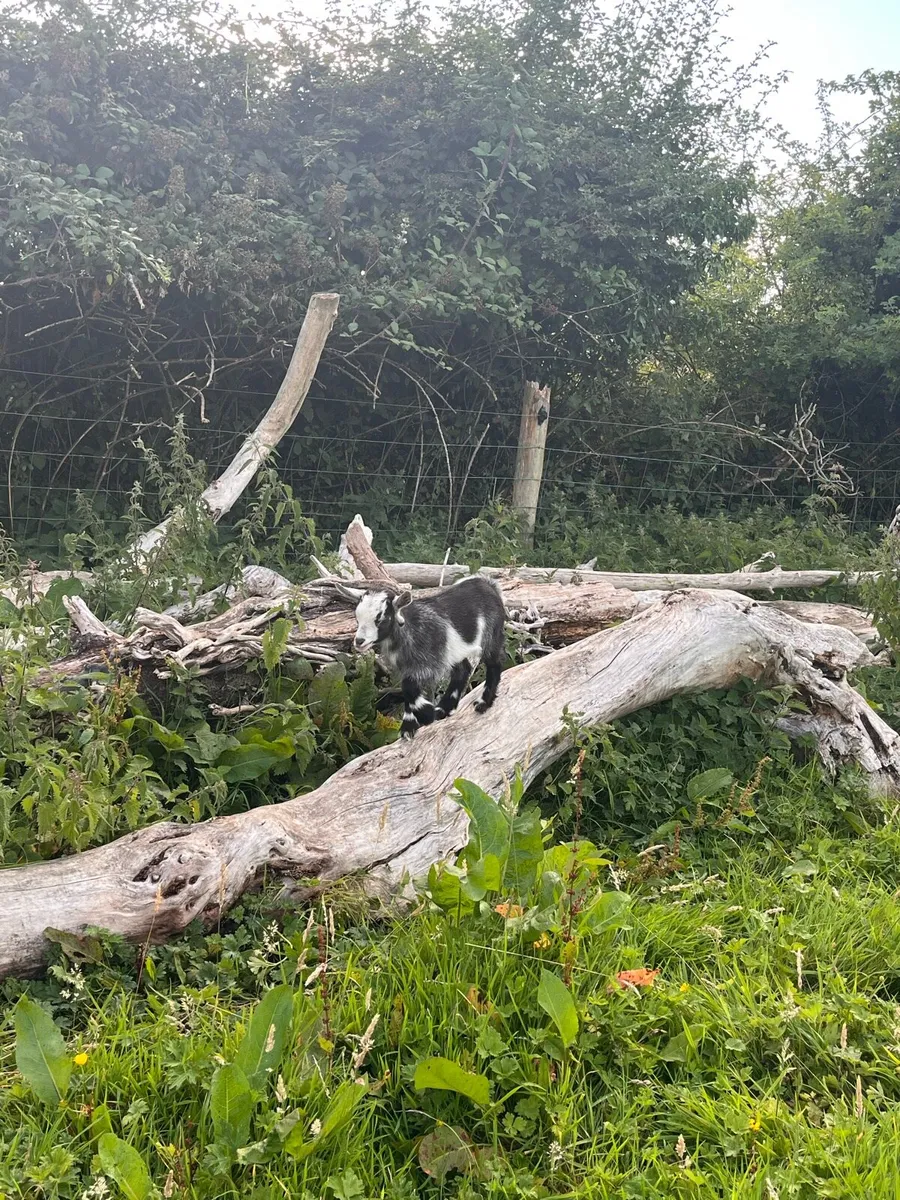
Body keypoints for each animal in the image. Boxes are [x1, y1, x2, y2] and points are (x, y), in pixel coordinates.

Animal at [338, 576, 506, 738]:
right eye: (357, 618)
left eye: (381, 619)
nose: (359, 641)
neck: (409, 630)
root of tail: (488, 583)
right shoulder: (406, 667)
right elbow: (407, 690)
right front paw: (409, 726)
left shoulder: (430, 663)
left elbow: (409, 687)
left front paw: (425, 714)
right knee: (463, 669)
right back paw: (444, 709)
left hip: (491, 635)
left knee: (494, 664)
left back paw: (484, 703)